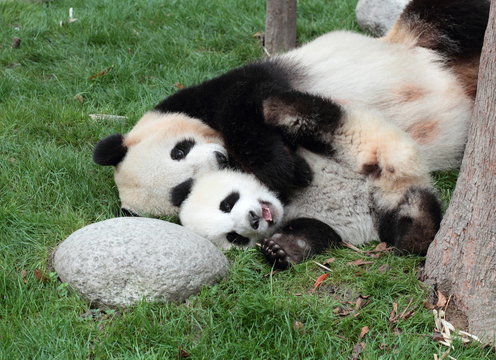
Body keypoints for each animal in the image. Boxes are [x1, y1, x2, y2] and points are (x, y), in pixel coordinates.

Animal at [92, 0, 488, 268]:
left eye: (179, 150)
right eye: (180, 191)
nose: (219, 158)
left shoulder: (214, 92)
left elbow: (243, 106)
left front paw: (287, 170)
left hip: (417, 38)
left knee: (451, 13)